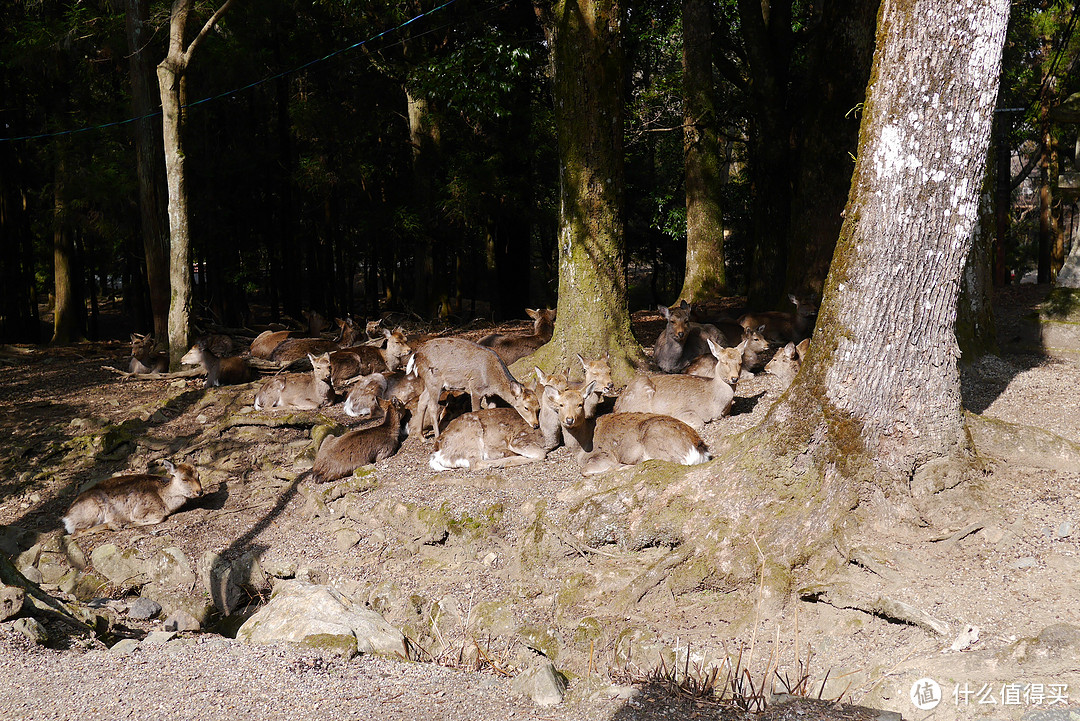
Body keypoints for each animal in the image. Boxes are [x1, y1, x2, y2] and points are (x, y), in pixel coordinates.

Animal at [63, 461, 204, 535]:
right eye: (184, 479)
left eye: (198, 475)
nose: (200, 492)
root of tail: (66, 517)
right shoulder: (140, 510)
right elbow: (160, 518)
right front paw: (129, 524)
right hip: (92, 510)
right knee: (76, 532)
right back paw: (115, 525)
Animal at [406, 338, 540, 440]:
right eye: (526, 407)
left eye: (538, 407)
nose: (536, 425)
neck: (493, 380)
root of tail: (416, 355)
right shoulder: (476, 388)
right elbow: (476, 411)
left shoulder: (490, 394)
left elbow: (491, 410)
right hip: (434, 379)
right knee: (432, 406)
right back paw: (437, 436)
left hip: (434, 384)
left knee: (422, 400)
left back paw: (421, 437)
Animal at [613, 338, 747, 433]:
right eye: (724, 362)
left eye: (740, 362)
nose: (734, 378)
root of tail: (617, 405)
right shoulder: (683, 410)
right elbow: (699, 422)